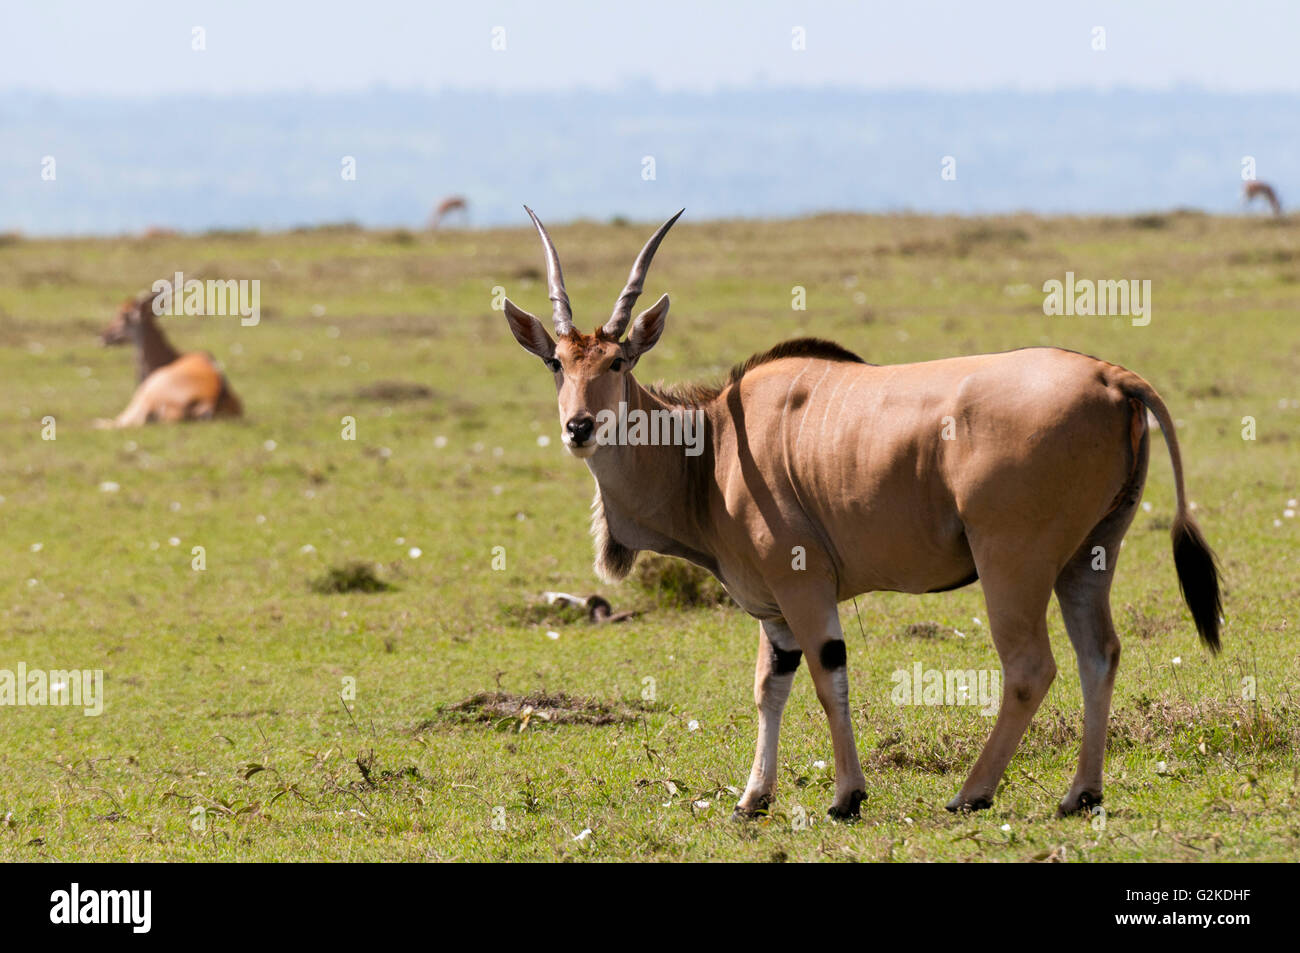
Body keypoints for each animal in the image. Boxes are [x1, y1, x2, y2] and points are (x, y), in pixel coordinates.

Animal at [501, 208, 1222, 816]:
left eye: (618, 360)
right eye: (556, 362)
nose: (579, 427)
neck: (711, 446)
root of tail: (1111, 376)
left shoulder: (802, 584)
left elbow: (828, 674)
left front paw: (846, 796)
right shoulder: (774, 610)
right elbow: (769, 686)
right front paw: (752, 798)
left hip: (1012, 562)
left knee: (1030, 666)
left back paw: (973, 792)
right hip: (1090, 557)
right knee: (1099, 653)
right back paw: (1081, 792)